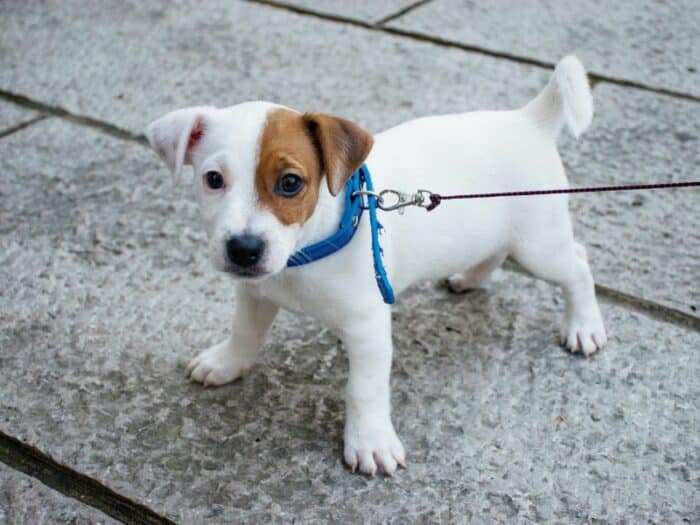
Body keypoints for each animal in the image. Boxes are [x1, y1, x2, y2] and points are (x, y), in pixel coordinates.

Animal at [148, 54, 608, 474]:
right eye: (213, 180)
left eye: (290, 183)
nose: (243, 249)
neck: (304, 253)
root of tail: (530, 119)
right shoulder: (256, 291)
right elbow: (244, 332)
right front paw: (225, 363)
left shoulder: (368, 329)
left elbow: (362, 389)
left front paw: (370, 442)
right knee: (494, 251)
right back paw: (469, 278)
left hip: (539, 244)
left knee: (578, 264)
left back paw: (583, 326)